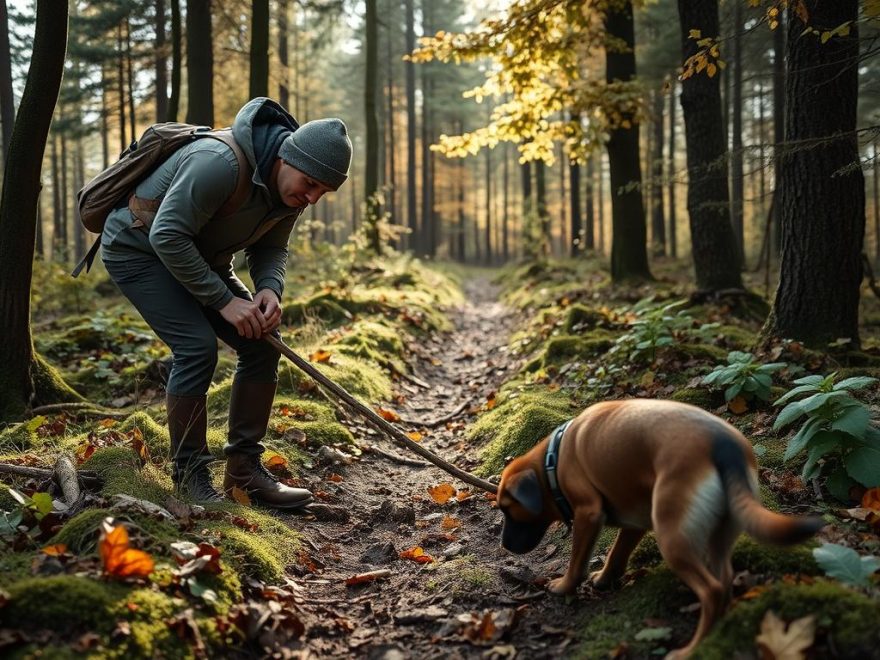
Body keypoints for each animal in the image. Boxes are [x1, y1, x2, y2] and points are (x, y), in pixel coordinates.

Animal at [498, 400, 828, 656]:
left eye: (506, 510)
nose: (504, 545)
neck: (554, 459)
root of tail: (723, 445)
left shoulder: (588, 514)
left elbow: (577, 561)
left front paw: (565, 586)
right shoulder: (634, 523)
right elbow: (617, 556)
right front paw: (605, 579)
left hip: (672, 538)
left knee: (711, 590)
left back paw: (690, 650)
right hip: (720, 534)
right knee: (724, 582)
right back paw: (714, 636)